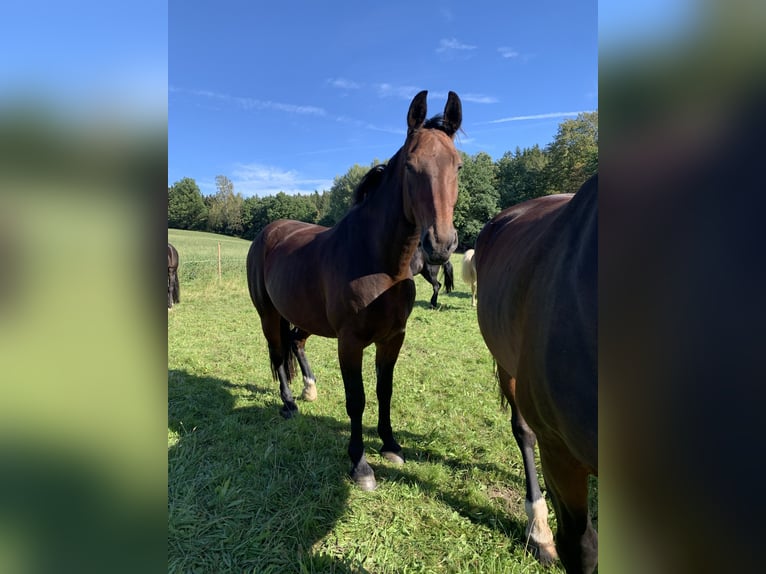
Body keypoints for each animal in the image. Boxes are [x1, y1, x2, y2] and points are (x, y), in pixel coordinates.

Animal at [246, 90, 462, 490]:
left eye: (457, 166)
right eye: (411, 167)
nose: (440, 244)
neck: (379, 262)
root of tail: (269, 231)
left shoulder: (393, 338)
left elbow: (384, 391)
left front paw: (391, 445)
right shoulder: (350, 342)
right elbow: (357, 400)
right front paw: (360, 464)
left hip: (303, 317)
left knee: (294, 343)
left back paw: (310, 388)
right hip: (268, 314)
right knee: (277, 353)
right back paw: (289, 404)